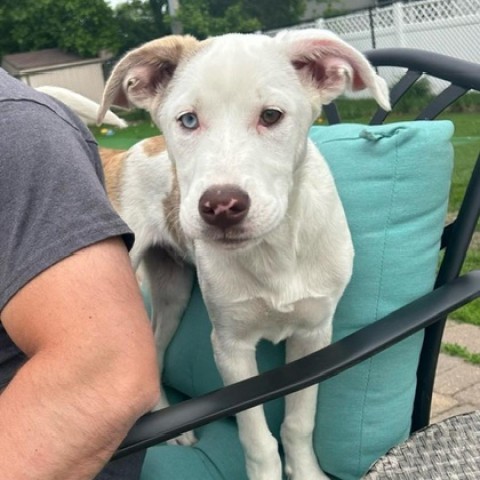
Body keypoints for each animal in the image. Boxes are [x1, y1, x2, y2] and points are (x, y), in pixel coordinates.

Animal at [97, 31, 390, 478]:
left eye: (271, 116)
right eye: (188, 120)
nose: (220, 206)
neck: (275, 248)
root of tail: (125, 154)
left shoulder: (314, 336)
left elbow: (299, 423)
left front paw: (305, 470)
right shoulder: (231, 346)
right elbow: (257, 439)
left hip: (173, 292)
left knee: (156, 347)